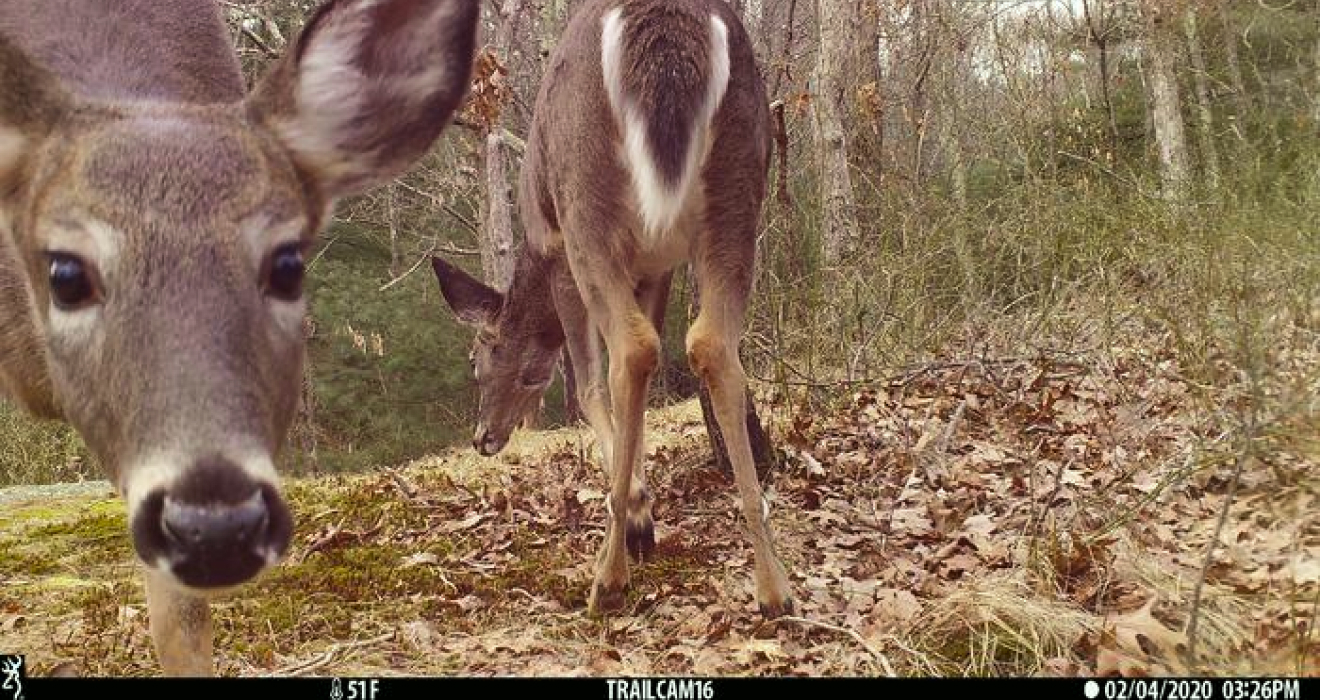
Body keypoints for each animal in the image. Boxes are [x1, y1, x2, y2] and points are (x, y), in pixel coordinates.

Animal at [435, 0, 792, 615]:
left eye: (476, 362)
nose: (482, 439)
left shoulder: (559, 254)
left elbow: (587, 383)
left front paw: (638, 517)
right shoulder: (657, 266)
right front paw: (643, 509)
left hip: (587, 201)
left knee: (631, 350)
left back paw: (608, 577)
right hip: (740, 182)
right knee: (711, 344)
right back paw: (774, 586)